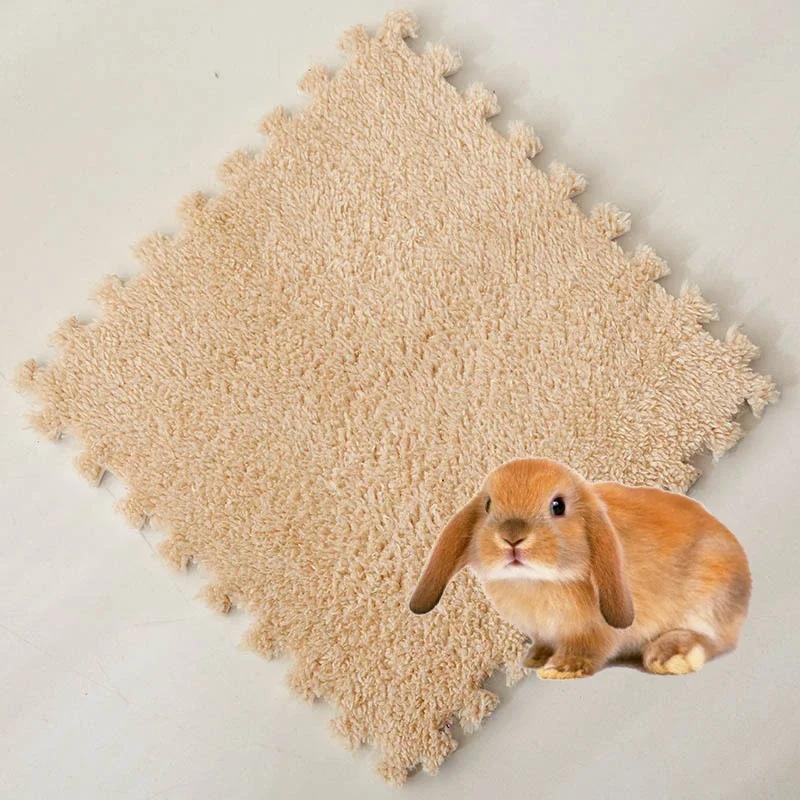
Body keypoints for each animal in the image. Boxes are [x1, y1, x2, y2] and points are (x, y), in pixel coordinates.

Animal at [409, 458, 750, 679]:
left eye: (558, 506)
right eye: (488, 505)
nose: (511, 537)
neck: (534, 581)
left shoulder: (593, 630)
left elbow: (587, 648)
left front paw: (559, 669)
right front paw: (536, 658)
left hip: (708, 596)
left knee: (714, 640)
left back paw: (670, 656)